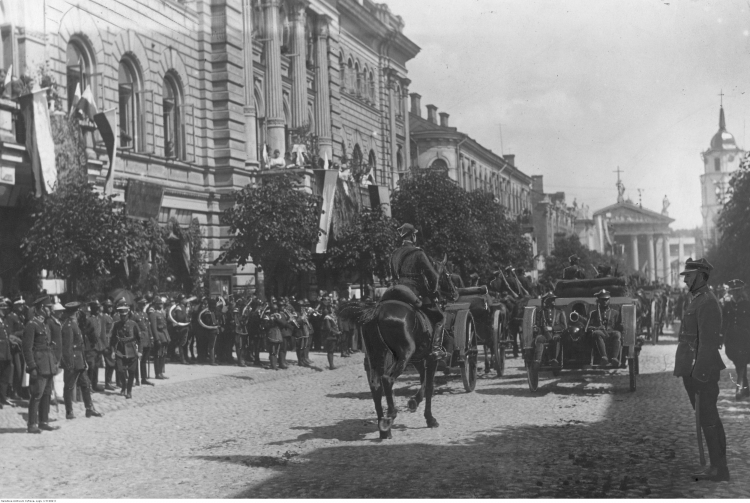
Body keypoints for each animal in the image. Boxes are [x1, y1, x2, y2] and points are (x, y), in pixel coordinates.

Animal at [338, 258, 456, 440]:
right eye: (448, 274)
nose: (454, 292)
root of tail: (376, 310)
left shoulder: (418, 360)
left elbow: (423, 382)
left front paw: (415, 402)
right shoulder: (431, 358)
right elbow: (429, 386)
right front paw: (429, 417)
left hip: (375, 358)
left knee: (376, 386)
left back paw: (384, 429)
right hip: (402, 356)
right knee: (387, 379)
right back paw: (390, 416)